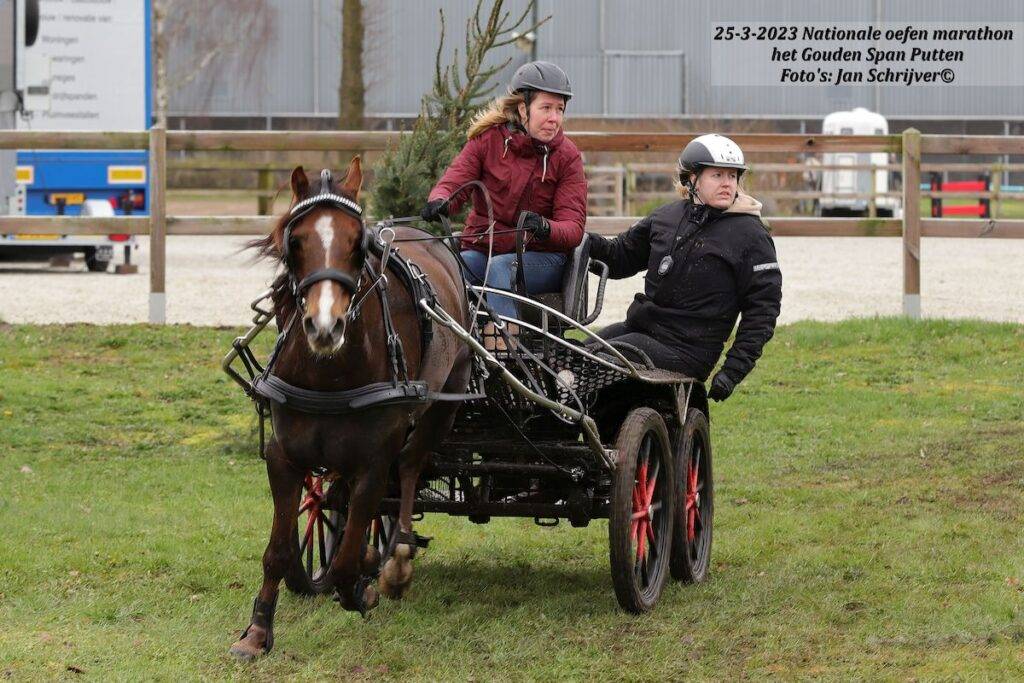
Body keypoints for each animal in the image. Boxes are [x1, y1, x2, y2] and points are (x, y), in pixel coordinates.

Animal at [229, 157, 474, 660]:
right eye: (295, 242)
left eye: (358, 245)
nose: (325, 326)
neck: (330, 373)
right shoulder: (283, 457)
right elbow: (279, 551)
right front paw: (257, 631)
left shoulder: (373, 461)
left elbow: (346, 557)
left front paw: (361, 587)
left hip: (441, 406)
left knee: (410, 468)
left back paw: (396, 558)